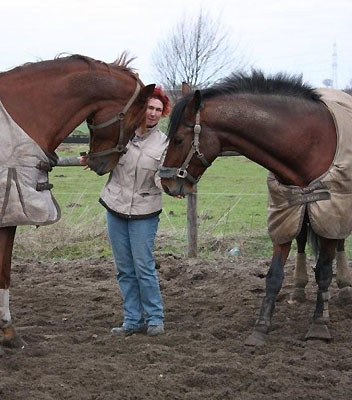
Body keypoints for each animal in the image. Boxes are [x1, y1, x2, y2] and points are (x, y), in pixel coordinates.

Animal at [160, 72, 352, 346]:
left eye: (177, 139)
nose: (166, 183)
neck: (310, 140)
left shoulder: (330, 211)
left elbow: (325, 272)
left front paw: (318, 324)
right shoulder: (286, 212)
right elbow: (274, 275)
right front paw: (261, 327)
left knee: (339, 244)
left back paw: (344, 288)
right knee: (303, 242)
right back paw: (299, 289)